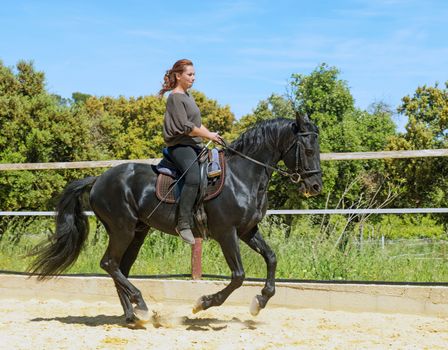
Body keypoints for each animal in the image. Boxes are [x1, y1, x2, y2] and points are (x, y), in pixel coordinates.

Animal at [28, 113, 322, 324]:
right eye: (308, 150)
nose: (315, 186)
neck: (243, 175)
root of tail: (99, 179)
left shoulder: (248, 230)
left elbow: (271, 259)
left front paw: (259, 302)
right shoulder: (227, 233)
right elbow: (238, 275)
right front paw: (203, 303)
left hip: (137, 232)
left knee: (119, 267)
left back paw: (132, 315)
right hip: (123, 229)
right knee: (110, 263)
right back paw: (141, 306)